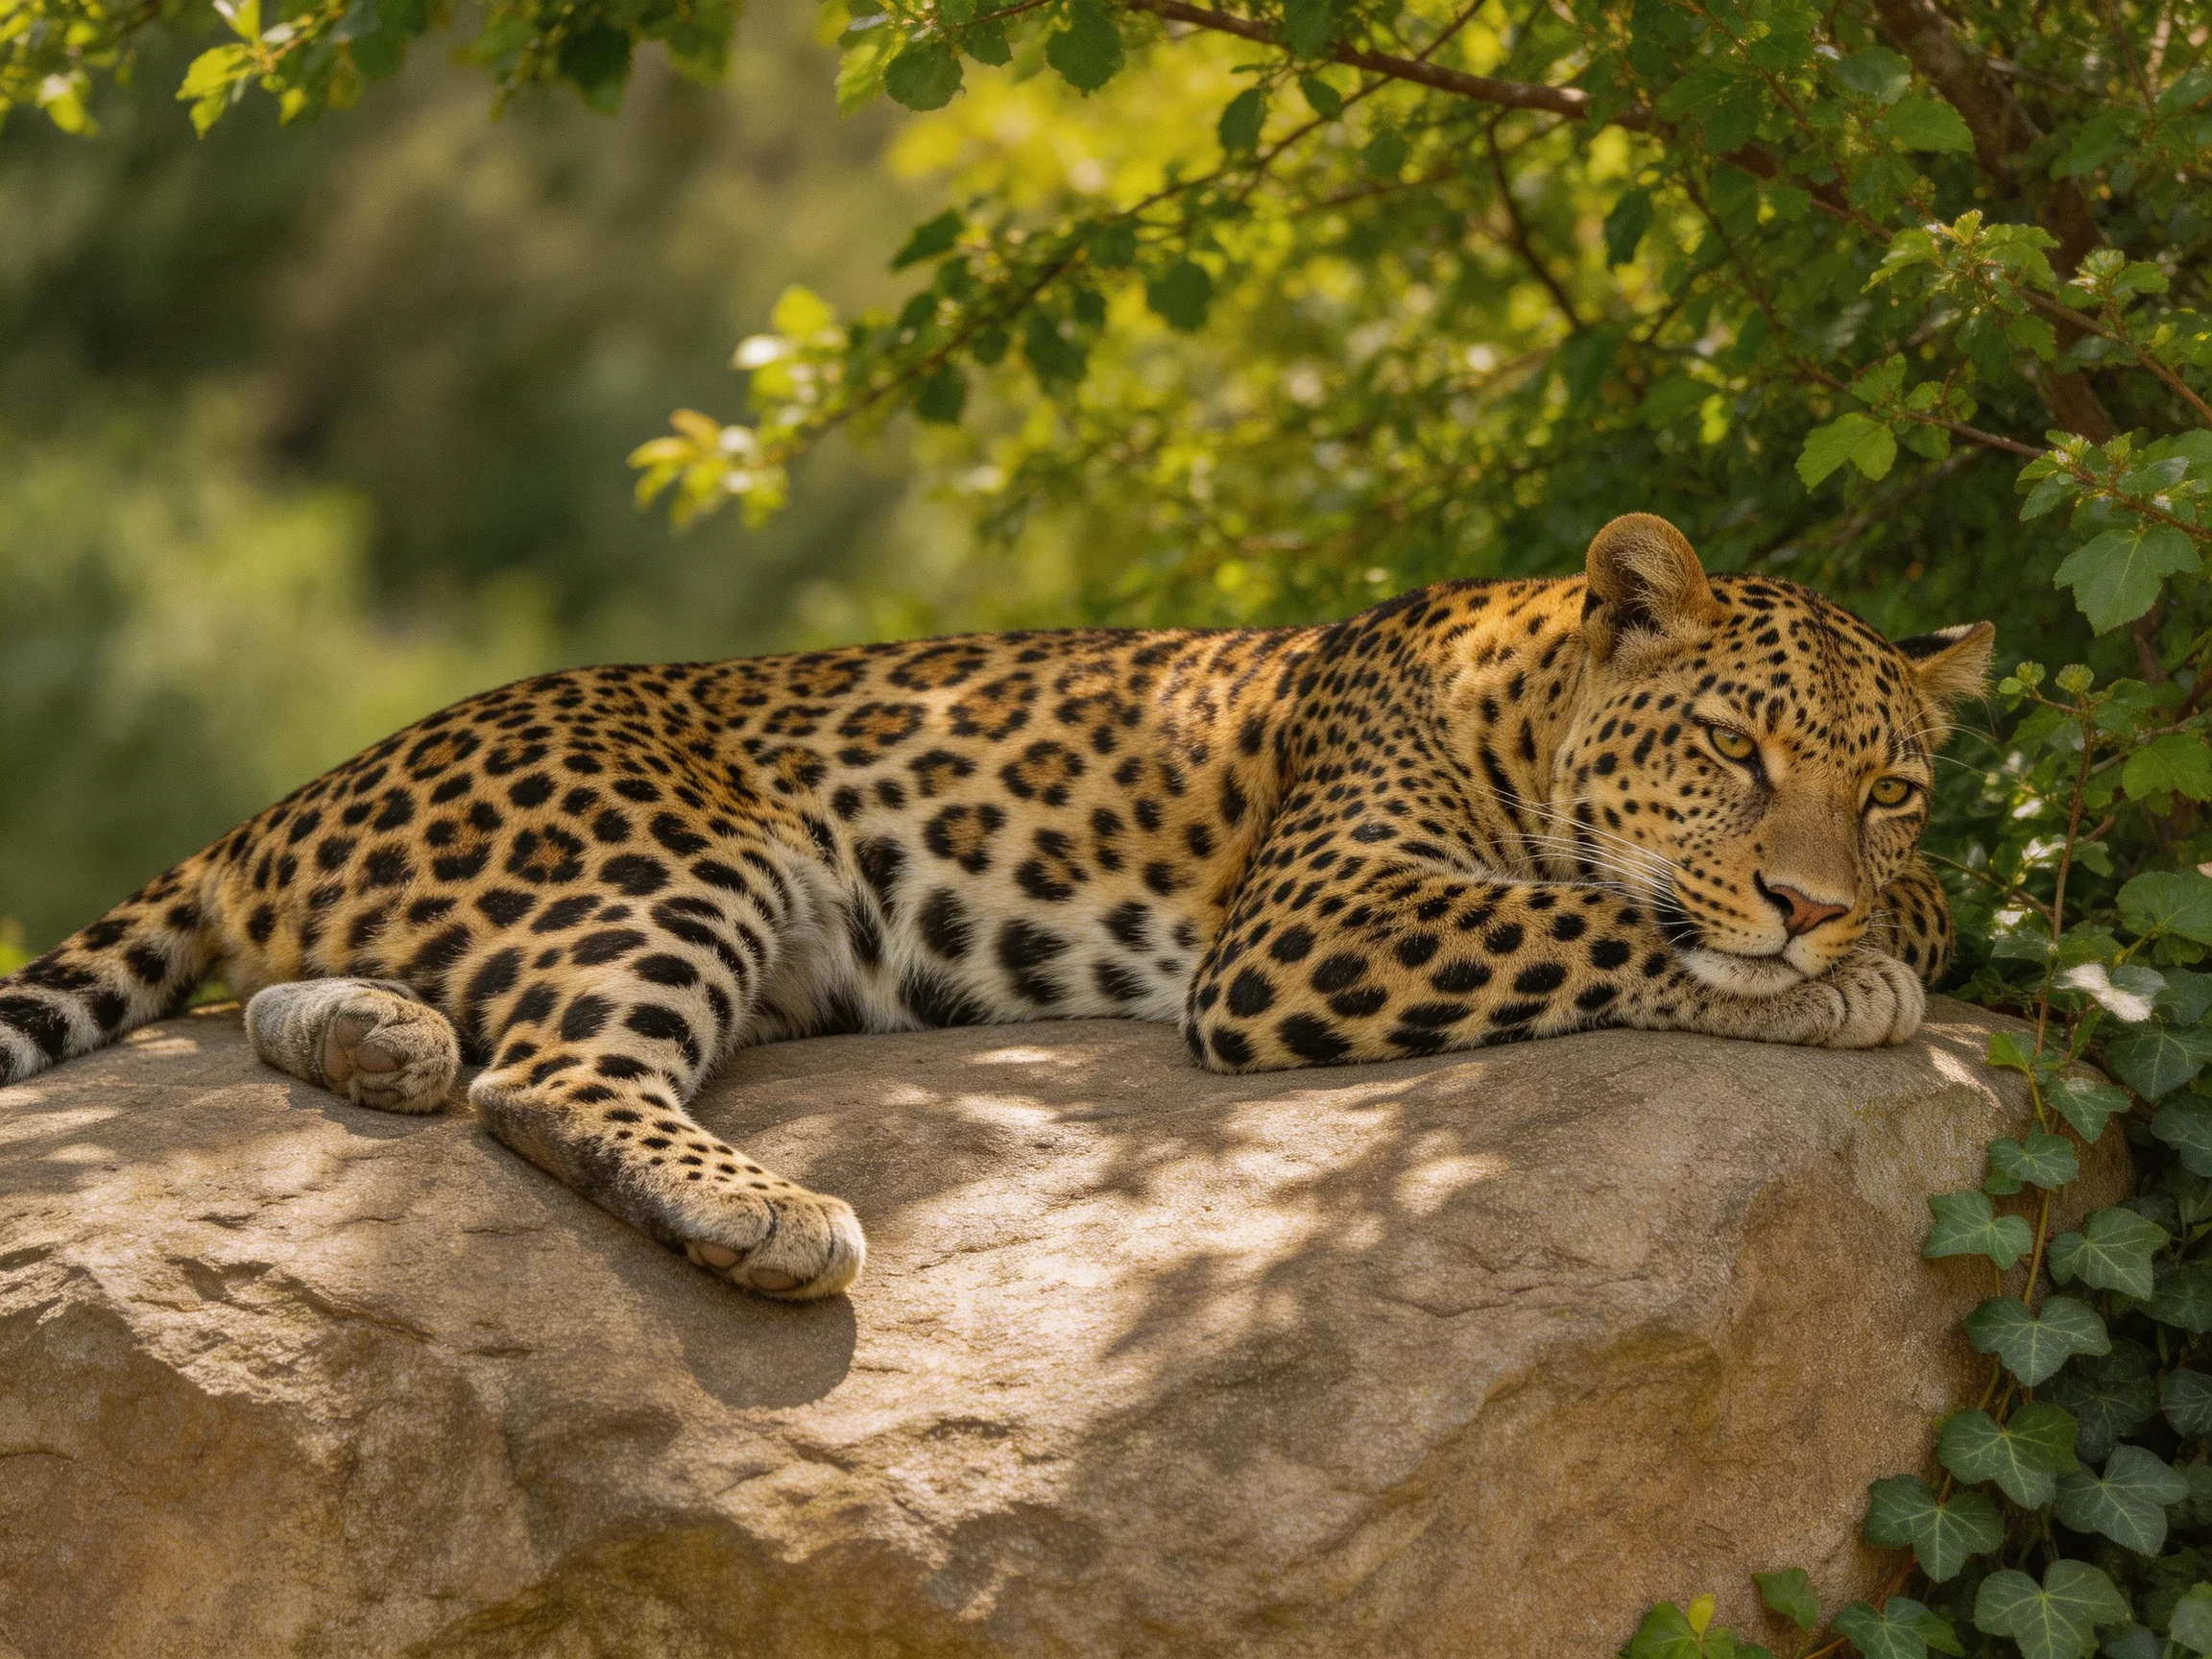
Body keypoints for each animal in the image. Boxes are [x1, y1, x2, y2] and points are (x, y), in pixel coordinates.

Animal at [0, 514, 1992, 1301]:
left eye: (1885, 781)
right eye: (1732, 747)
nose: (1806, 901)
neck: (1512, 689)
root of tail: (303, 786)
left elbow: (1920, 903)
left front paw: (1869, 935)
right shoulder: (1307, 923)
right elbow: (1600, 921)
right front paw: (1815, 982)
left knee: (351, 1018)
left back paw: (381, 1038)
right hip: (679, 857)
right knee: (552, 1075)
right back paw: (765, 1217)